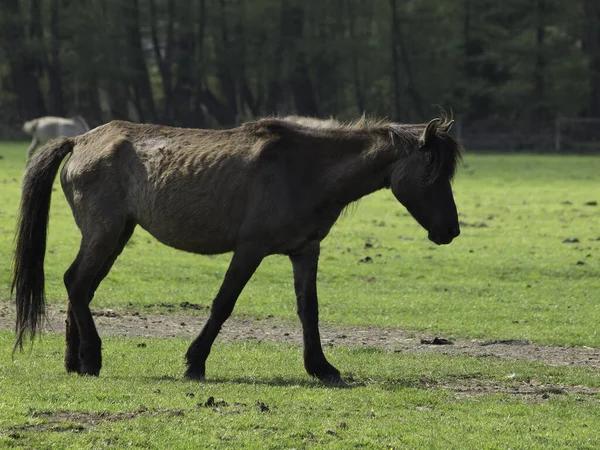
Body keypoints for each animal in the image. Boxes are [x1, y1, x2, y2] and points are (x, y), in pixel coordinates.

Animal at [12, 116, 464, 384]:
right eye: (432, 173)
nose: (451, 230)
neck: (305, 168)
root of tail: (80, 140)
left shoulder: (306, 252)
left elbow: (309, 309)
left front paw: (320, 367)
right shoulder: (250, 249)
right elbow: (223, 304)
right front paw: (195, 362)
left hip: (117, 234)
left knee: (80, 288)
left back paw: (76, 362)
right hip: (105, 233)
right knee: (77, 284)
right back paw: (91, 358)